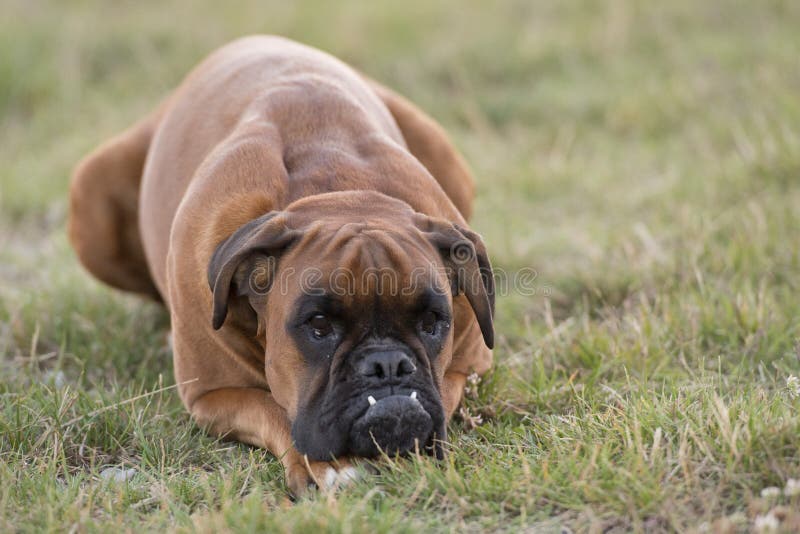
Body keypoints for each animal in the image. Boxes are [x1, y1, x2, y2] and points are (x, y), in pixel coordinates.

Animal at [69, 36, 494, 498]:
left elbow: (445, 393)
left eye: (432, 322)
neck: (337, 187)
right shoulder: (214, 395)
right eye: (319, 325)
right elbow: (273, 409)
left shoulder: (467, 366)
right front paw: (333, 466)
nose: (387, 366)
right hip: (90, 198)